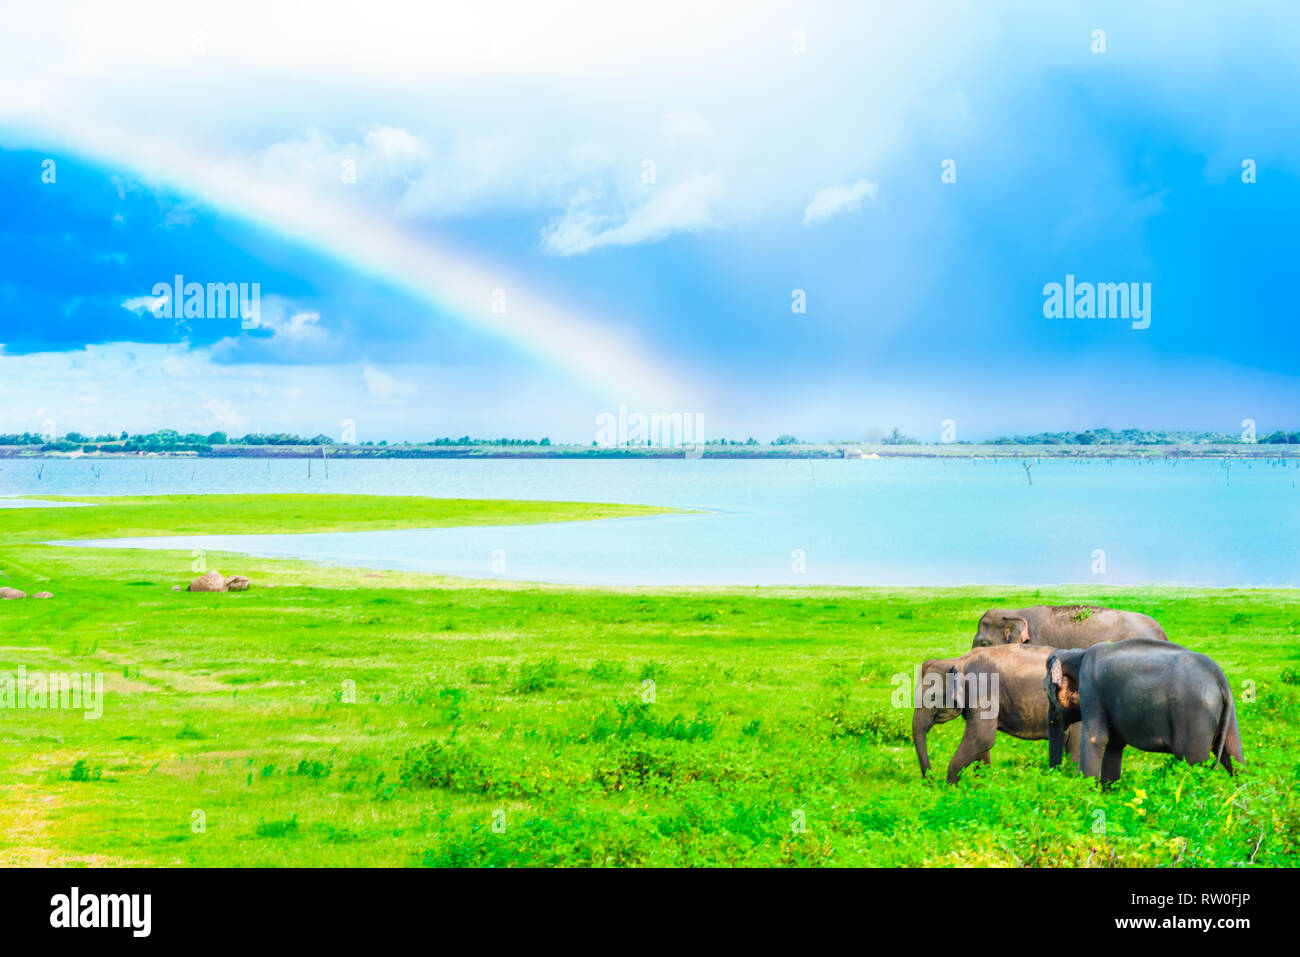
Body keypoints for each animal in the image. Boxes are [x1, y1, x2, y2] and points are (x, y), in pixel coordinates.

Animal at [915, 642, 1086, 785]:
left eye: (932, 697)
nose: (931, 781)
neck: (960, 661)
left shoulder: (983, 691)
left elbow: (983, 737)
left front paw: (952, 789)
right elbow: (982, 744)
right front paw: (982, 785)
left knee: (1075, 750)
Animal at [1040, 639, 1242, 780]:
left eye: (1045, 690)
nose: (1055, 775)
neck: (1077, 655)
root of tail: (1221, 680)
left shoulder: (1092, 689)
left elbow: (1096, 739)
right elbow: (1114, 745)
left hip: (1195, 718)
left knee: (1193, 763)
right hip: (1229, 717)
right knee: (1234, 756)